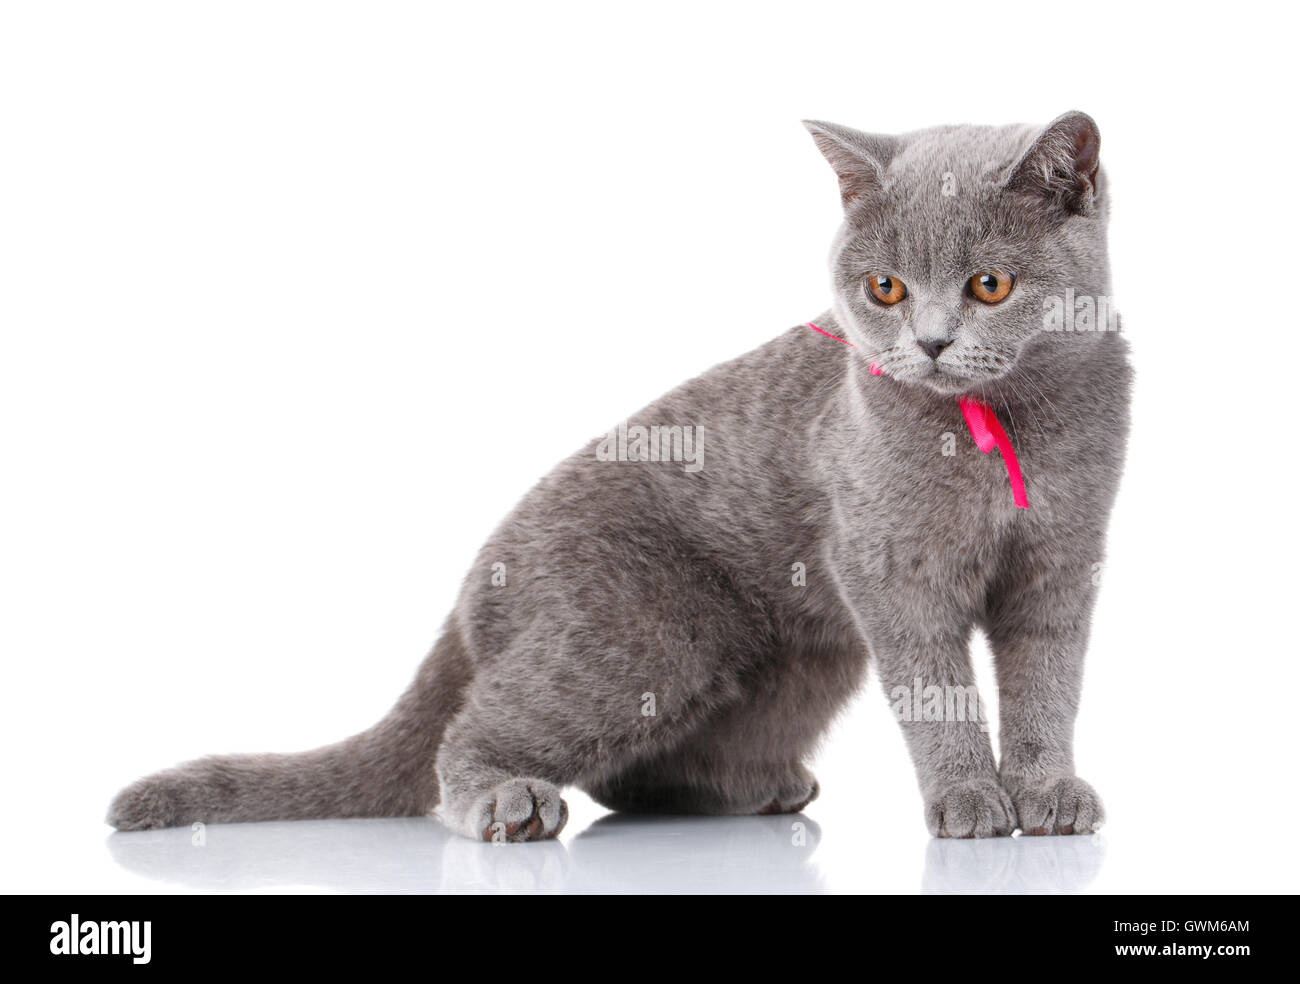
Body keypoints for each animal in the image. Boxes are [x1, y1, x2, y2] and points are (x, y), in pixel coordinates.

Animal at [109, 111, 1128, 842]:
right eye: (884, 289)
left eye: (990, 285)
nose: (930, 341)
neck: (1005, 427)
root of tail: (477, 583)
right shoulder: (889, 569)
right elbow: (935, 690)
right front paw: (968, 801)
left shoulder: (1065, 562)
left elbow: (1048, 681)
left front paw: (1049, 794)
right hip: (646, 632)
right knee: (477, 730)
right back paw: (507, 804)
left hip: (795, 662)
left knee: (633, 773)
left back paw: (760, 788)